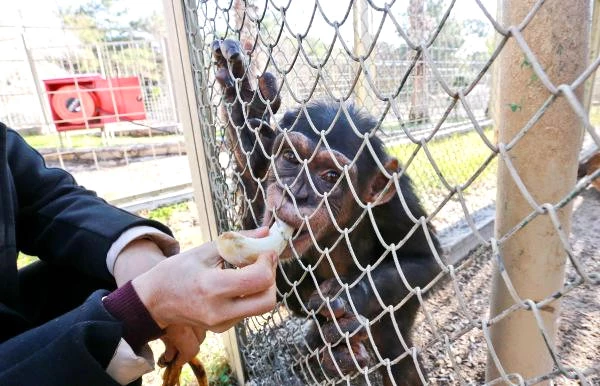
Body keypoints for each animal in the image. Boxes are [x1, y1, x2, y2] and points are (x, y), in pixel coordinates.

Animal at [211, 39, 440, 386]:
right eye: (291, 157)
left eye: (330, 176)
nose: (297, 193)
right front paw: (245, 112)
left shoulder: (398, 206)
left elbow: (424, 260)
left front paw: (344, 300)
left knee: (396, 351)